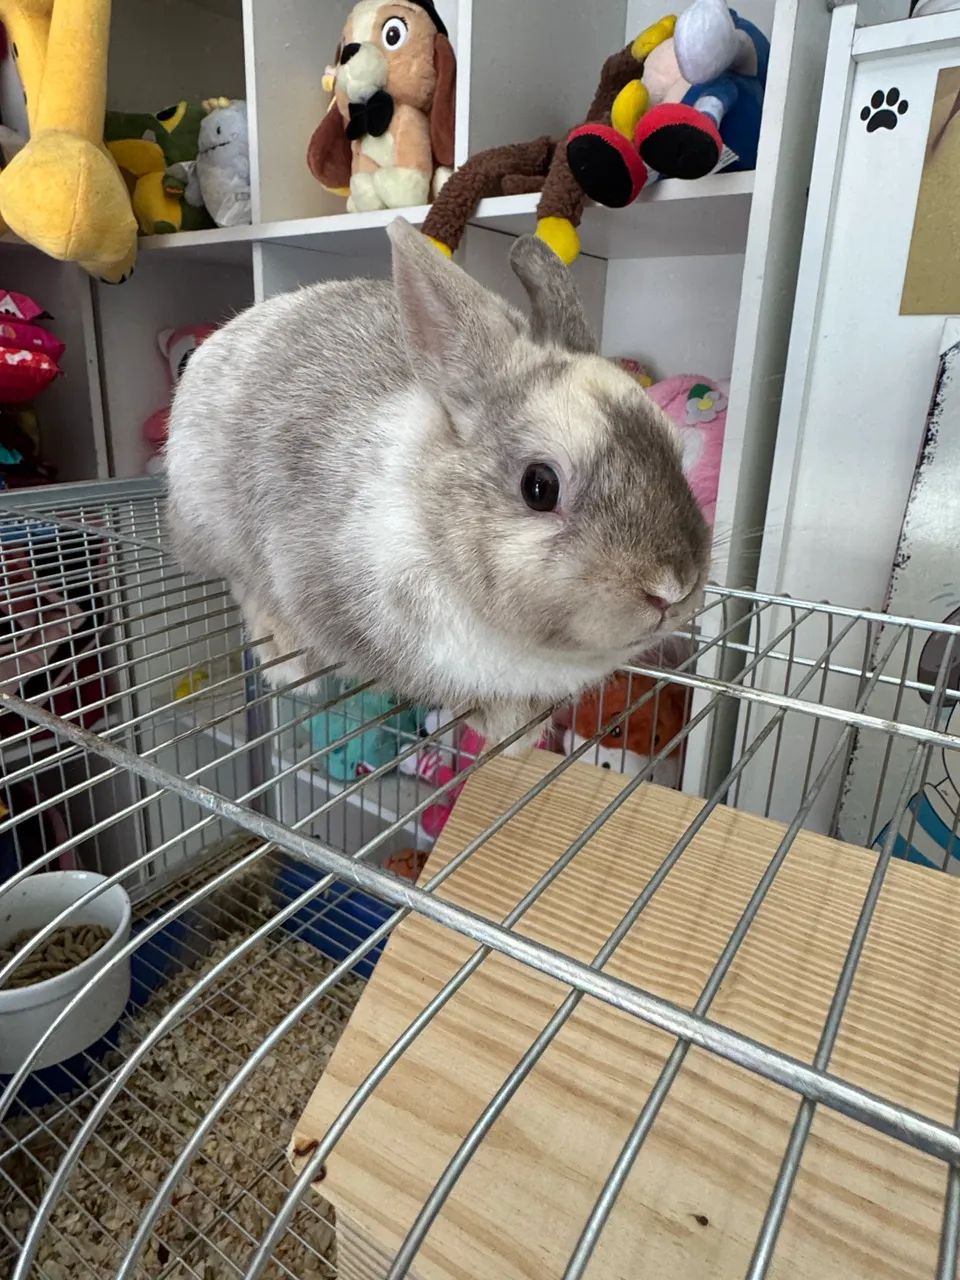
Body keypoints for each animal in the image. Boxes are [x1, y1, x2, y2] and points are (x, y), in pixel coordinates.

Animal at [164, 219, 710, 750]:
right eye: (540, 486)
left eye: (674, 446)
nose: (672, 588)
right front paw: (507, 727)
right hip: (211, 520)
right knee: (243, 582)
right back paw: (288, 655)